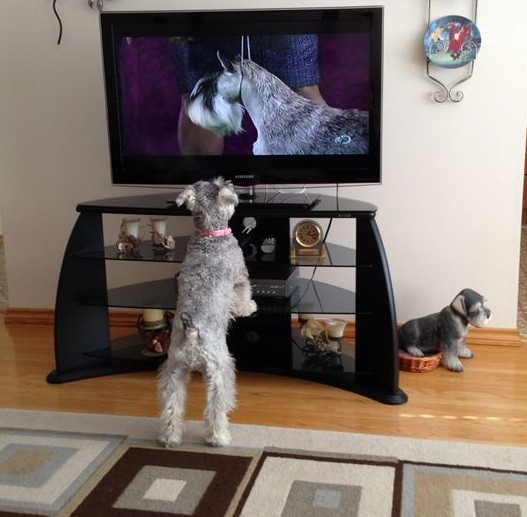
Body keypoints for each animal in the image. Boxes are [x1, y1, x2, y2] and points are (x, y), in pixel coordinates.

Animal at [159, 177, 258, 444]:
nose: (234, 189)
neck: (209, 233)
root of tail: (191, 331)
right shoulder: (241, 275)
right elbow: (244, 294)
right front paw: (249, 308)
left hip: (174, 371)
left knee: (172, 406)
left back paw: (171, 438)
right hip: (219, 369)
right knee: (215, 406)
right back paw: (219, 437)